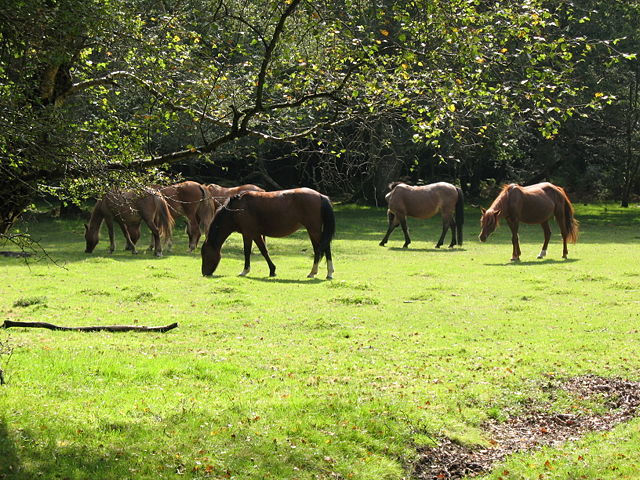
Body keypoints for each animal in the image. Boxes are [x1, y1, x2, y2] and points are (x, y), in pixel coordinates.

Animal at [201, 188, 335, 279]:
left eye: (205, 255)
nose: (204, 273)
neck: (236, 210)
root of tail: (320, 195)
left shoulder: (248, 233)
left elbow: (248, 251)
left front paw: (245, 271)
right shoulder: (255, 234)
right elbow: (264, 251)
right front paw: (272, 270)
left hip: (313, 230)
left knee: (322, 249)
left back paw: (318, 272)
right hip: (314, 231)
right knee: (323, 248)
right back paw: (323, 272)